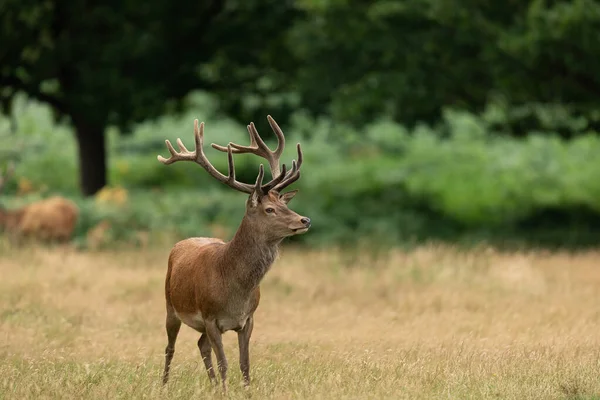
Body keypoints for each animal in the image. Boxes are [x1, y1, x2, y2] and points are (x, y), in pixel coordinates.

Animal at [157, 114, 312, 392]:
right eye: (269, 209)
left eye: (284, 203)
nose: (304, 220)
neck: (234, 291)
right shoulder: (210, 317)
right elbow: (224, 363)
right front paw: (226, 392)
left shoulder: (248, 319)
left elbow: (245, 364)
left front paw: (241, 391)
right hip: (170, 305)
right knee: (170, 347)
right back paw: (164, 385)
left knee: (201, 345)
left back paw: (212, 387)